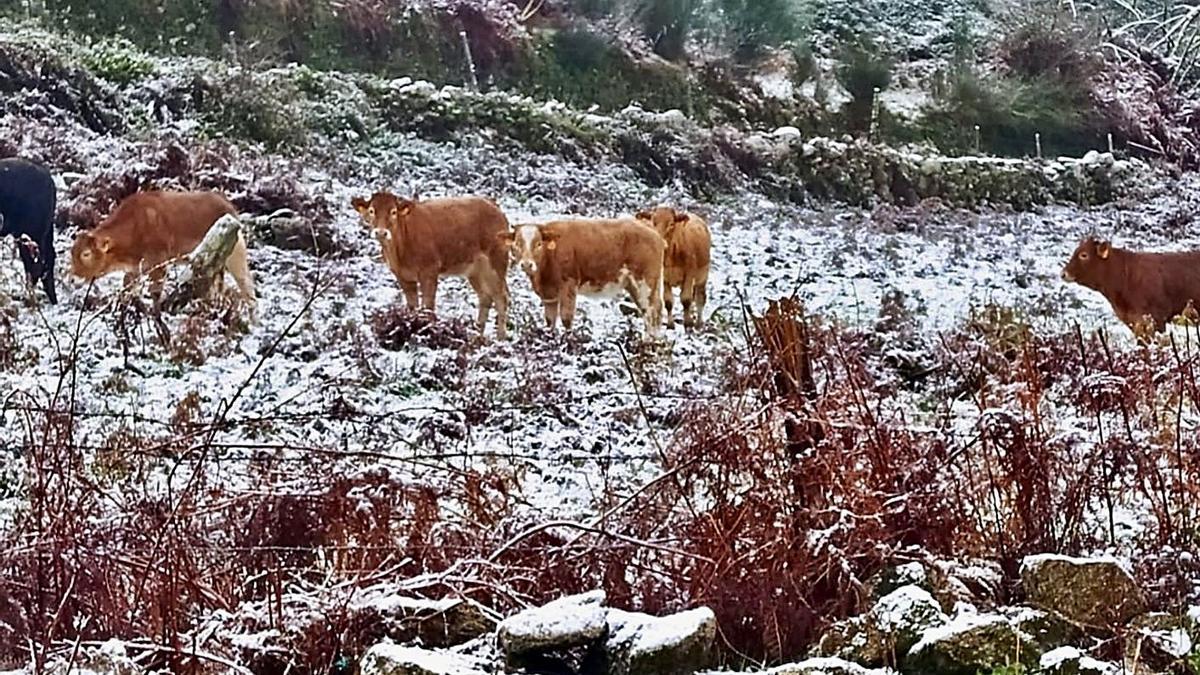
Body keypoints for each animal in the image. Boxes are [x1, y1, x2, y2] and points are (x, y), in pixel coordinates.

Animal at [69, 189, 255, 305]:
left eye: (86, 254)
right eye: (72, 253)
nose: (71, 278)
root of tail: (227, 205)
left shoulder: (158, 264)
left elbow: (155, 294)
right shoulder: (134, 269)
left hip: (235, 256)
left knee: (247, 287)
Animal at [350, 190, 511, 338]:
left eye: (393, 212)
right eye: (372, 211)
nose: (381, 232)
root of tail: (494, 206)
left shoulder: (429, 271)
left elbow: (427, 306)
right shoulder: (402, 276)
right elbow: (412, 306)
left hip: (496, 262)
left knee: (501, 297)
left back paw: (500, 337)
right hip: (475, 270)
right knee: (485, 297)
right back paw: (477, 335)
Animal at [496, 218, 667, 333]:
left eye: (538, 244)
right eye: (517, 244)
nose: (526, 264)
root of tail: (651, 230)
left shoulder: (569, 284)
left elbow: (566, 318)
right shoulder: (549, 294)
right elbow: (550, 320)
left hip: (645, 281)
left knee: (653, 311)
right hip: (635, 285)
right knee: (648, 311)